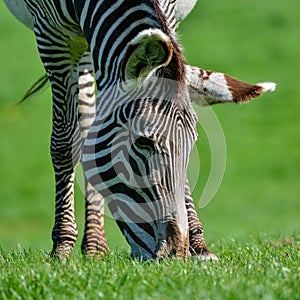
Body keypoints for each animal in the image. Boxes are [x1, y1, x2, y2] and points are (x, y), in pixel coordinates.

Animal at [4, 0, 276, 258]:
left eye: (193, 143)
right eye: (142, 142)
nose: (174, 253)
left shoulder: (170, 17)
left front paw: (199, 246)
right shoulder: (51, 34)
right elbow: (64, 143)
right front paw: (61, 245)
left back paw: (95, 246)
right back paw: (92, 244)